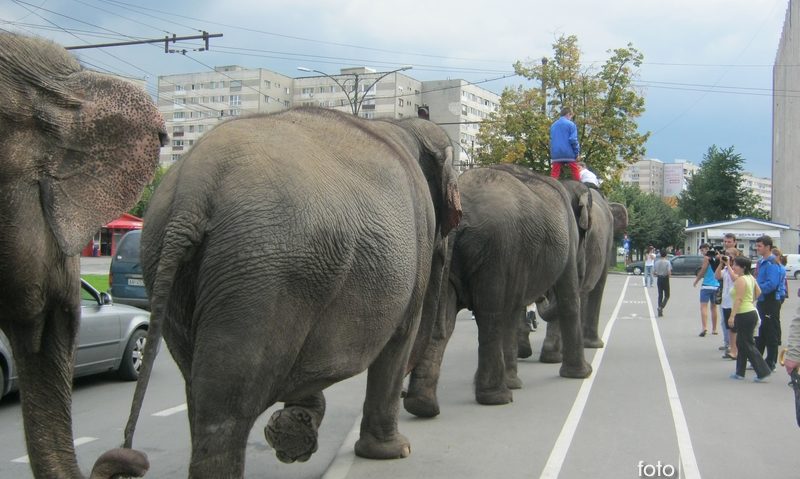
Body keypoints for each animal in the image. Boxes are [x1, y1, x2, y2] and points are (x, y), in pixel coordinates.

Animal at [120, 107, 462, 478]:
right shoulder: (420, 238)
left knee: (196, 388)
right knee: (229, 401)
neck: (404, 126)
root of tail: (193, 189)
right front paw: (394, 452)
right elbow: (399, 340)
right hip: (264, 271)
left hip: (171, 264)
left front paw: (294, 429)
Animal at [404, 163, 592, 418]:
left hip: (447, 255)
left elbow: (512, 310)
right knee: (489, 315)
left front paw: (513, 381)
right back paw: (497, 397)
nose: (542, 296)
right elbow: (568, 298)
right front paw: (582, 374)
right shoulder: (568, 237)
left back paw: (422, 406)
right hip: (495, 249)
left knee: (444, 320)